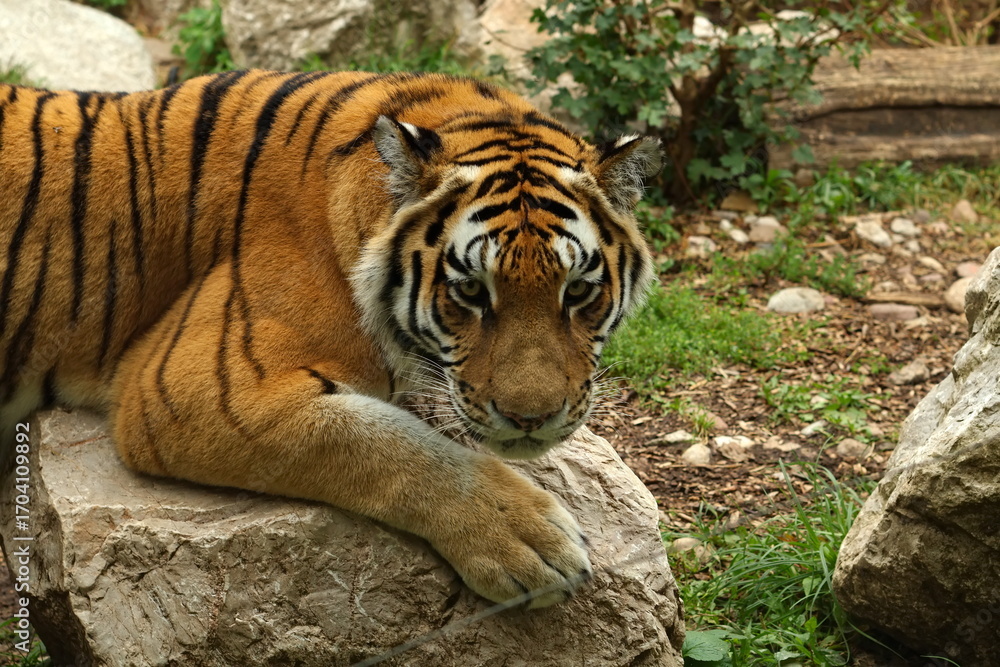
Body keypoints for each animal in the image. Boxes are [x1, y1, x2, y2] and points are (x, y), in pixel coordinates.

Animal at [0, 70, 660, 608]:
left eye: (578, 291)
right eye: (471, 290)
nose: (532, 420)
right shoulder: (194, 393)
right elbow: (388, 443)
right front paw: (531, 540)